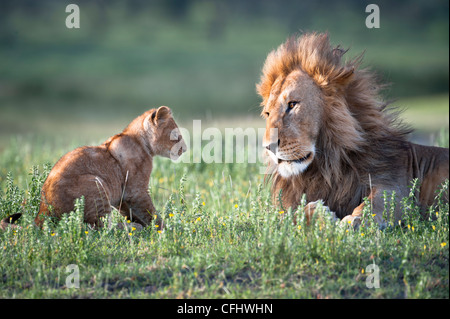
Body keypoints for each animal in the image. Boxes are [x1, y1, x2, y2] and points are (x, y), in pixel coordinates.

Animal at [258, 32, 448, 226]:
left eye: (292, 104)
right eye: (267, 113)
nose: (268, 147)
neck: (326, 167)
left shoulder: (394, 186)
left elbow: (373, 205)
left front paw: (352, 222)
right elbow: (289, 218)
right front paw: (318, 212)